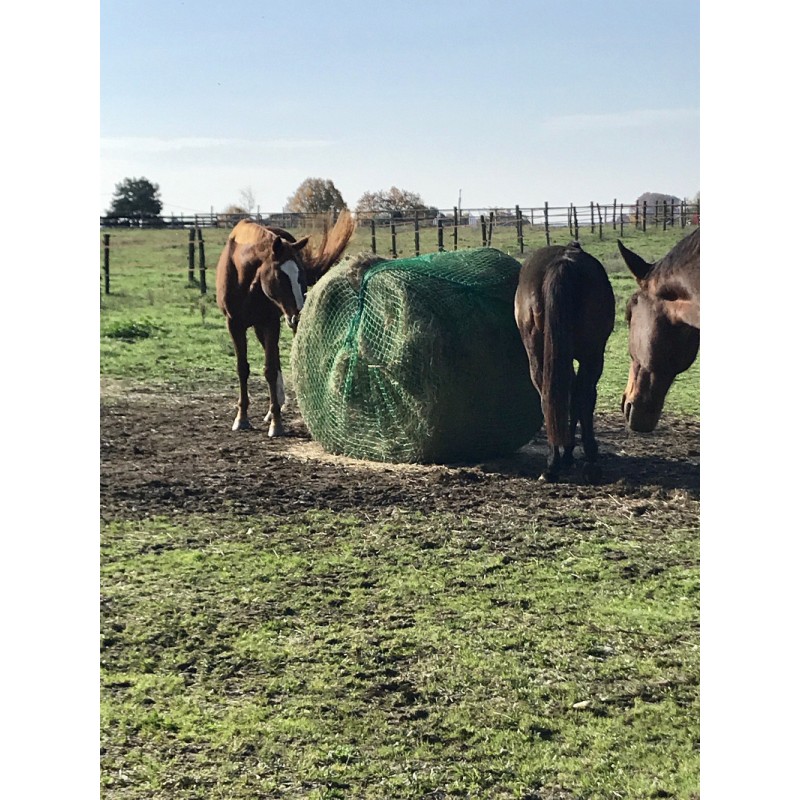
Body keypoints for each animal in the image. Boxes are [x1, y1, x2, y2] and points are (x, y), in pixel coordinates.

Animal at [216, 211, 355, 435]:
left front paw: (277, 423)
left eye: (301, 274)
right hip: (259, 326)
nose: (299, 315)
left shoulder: (271, 322)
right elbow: (242, 368)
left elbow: (270, 370)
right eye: (280, 275)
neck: (243, 275)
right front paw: (242, 418)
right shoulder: (234, 324)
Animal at [514, 241, 615, 482]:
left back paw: (553, 463)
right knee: (583, 395)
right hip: (592, 355)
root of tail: (563, 263)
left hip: (539, 352)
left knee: (548, 396)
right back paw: (587, 459)